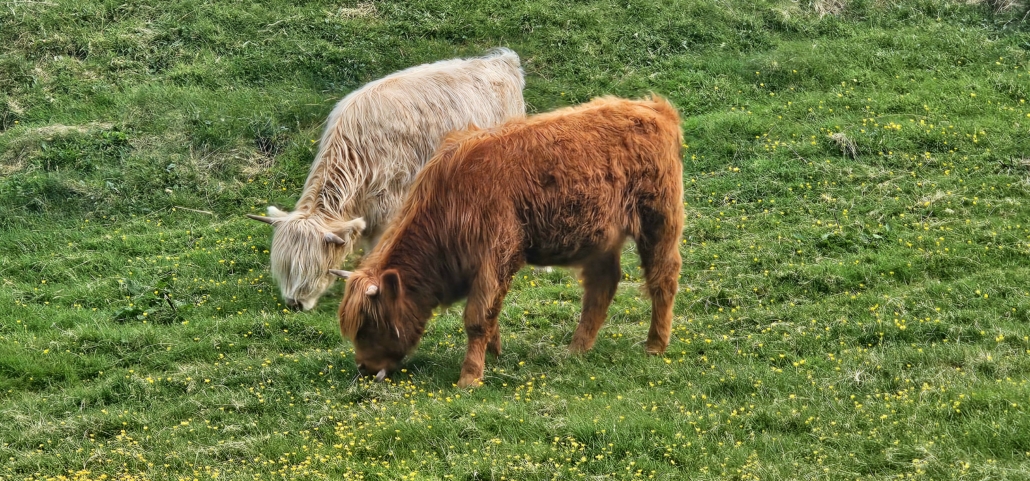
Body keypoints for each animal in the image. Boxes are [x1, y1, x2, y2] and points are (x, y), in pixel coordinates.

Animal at [337, 96, 684, 387]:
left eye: (368, 324)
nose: (363, 368)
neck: (451, 197)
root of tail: (653, 108)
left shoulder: (497, 254)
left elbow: (477, 317)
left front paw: (469, 378)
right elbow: (491, 312)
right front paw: (494, 353)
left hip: (658, 222)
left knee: (662, 278)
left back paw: (655, 345)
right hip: (602, 239)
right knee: (602, 286)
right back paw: (576, 349)